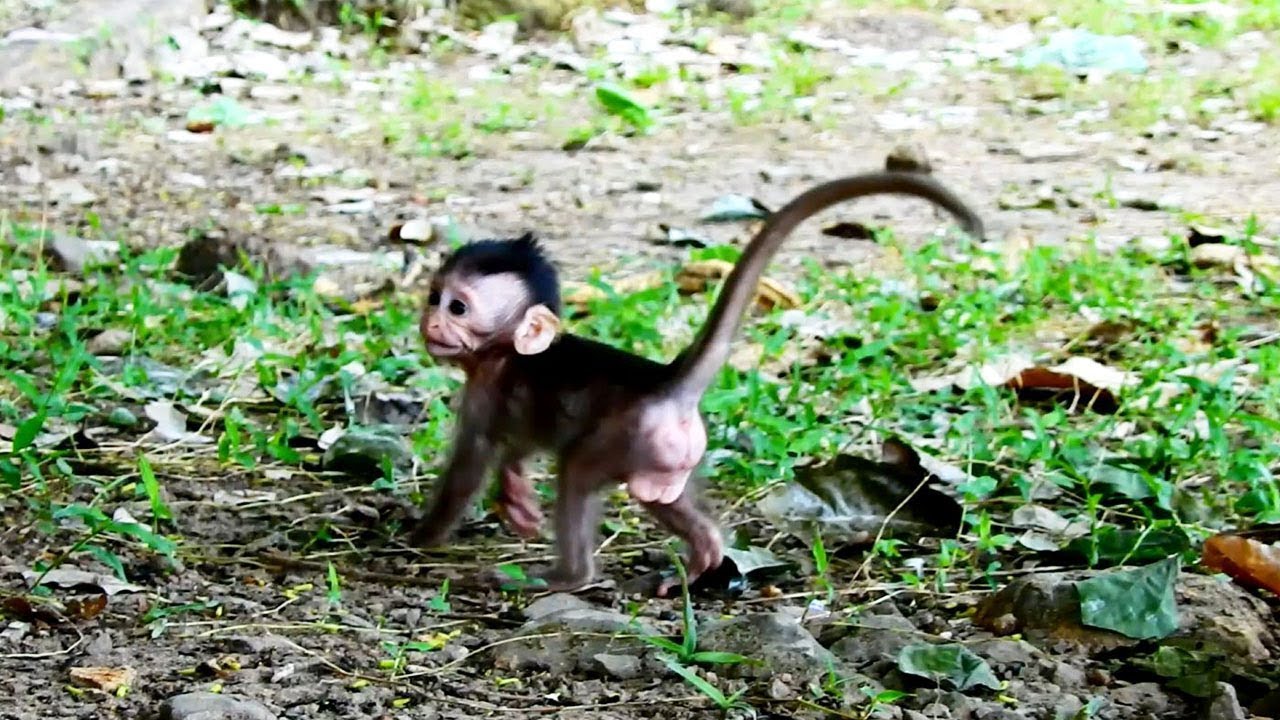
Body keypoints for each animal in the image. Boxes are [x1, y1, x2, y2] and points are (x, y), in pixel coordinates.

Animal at [408, 170, 985, 597]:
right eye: (434, 297)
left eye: (458, 307)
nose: (432, 323)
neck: (505, 351)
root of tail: (665, 383)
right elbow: (516, 446)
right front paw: (515, 495)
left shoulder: (486, 385)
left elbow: (472, 462)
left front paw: (422, 535)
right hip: (666, 454)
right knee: (664, 499)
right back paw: (702, 557)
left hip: (628, 438)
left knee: (576, 474)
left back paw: (569, 578)